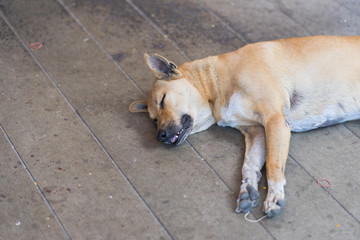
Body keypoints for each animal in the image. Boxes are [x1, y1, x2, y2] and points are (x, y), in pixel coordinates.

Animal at [129, 36, 360, 218]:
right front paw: (247, 188)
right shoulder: (256, 132)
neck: (216, 85)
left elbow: (273, 164)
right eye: (153, 120)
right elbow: (249, 164)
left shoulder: (275, 118)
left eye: (162, 101)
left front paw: (274, 196)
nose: (160, 136)